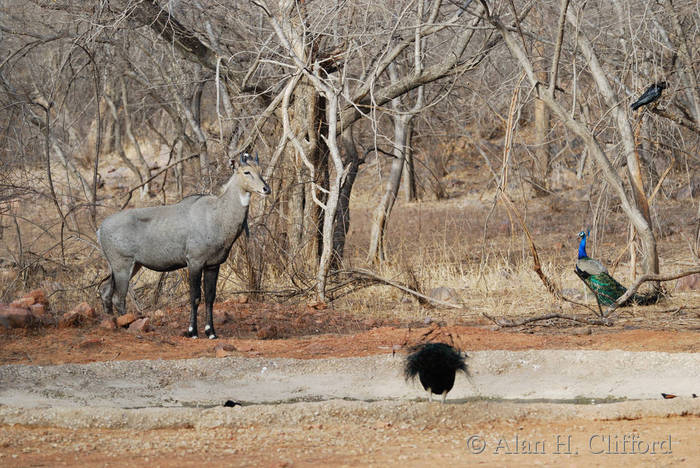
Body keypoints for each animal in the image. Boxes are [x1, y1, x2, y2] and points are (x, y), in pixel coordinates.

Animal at [98, 152, 270, 338]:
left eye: (260, 170)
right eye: (247, 172)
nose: (266, 189)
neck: (218, 215)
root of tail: (100, 229)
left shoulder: (213, 264)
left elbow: (210, 297)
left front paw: (211, 332)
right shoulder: (194, 261)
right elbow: (195, 297)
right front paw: (192, 331)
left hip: (129, 265)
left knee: (105, 291)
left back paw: (111, 322)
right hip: (122, 265)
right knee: (118, 297)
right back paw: (125, 325)